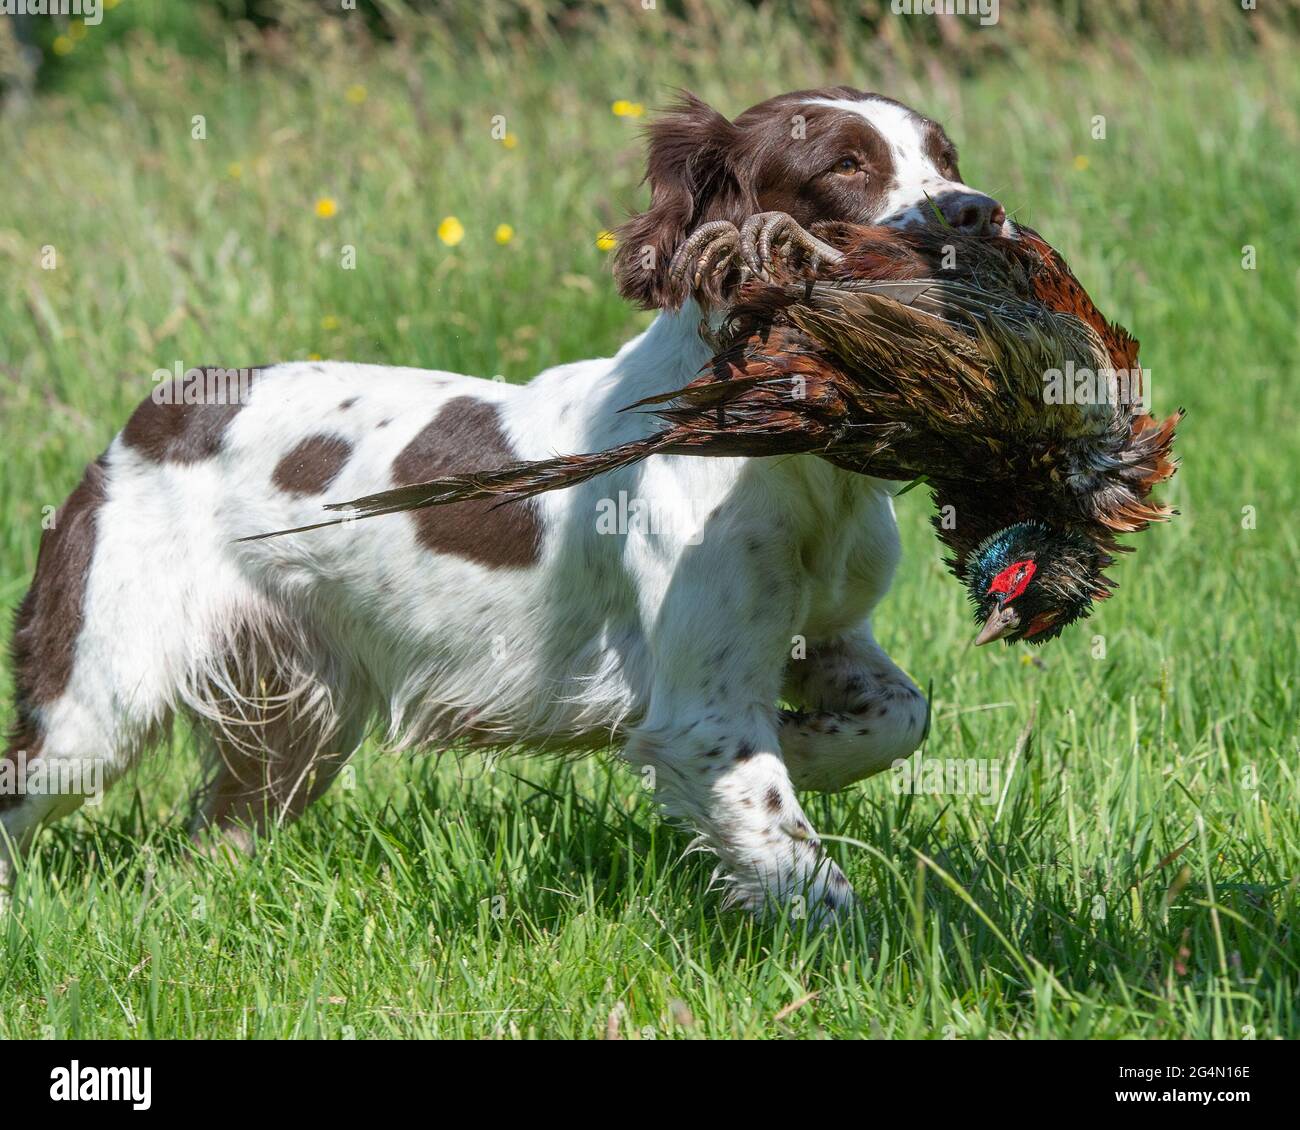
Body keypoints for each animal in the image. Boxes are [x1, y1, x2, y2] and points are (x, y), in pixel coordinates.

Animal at [2, 88, 1003, 915]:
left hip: (295, 719)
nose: (977, 211)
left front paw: (809, 743)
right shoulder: (703, 705)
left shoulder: (825, 632)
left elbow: (901, 715)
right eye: (844, 166)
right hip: (96, 699)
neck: (802, 461)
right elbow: (793, 852)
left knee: (214, 833)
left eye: (947, 154)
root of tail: (156, 413)